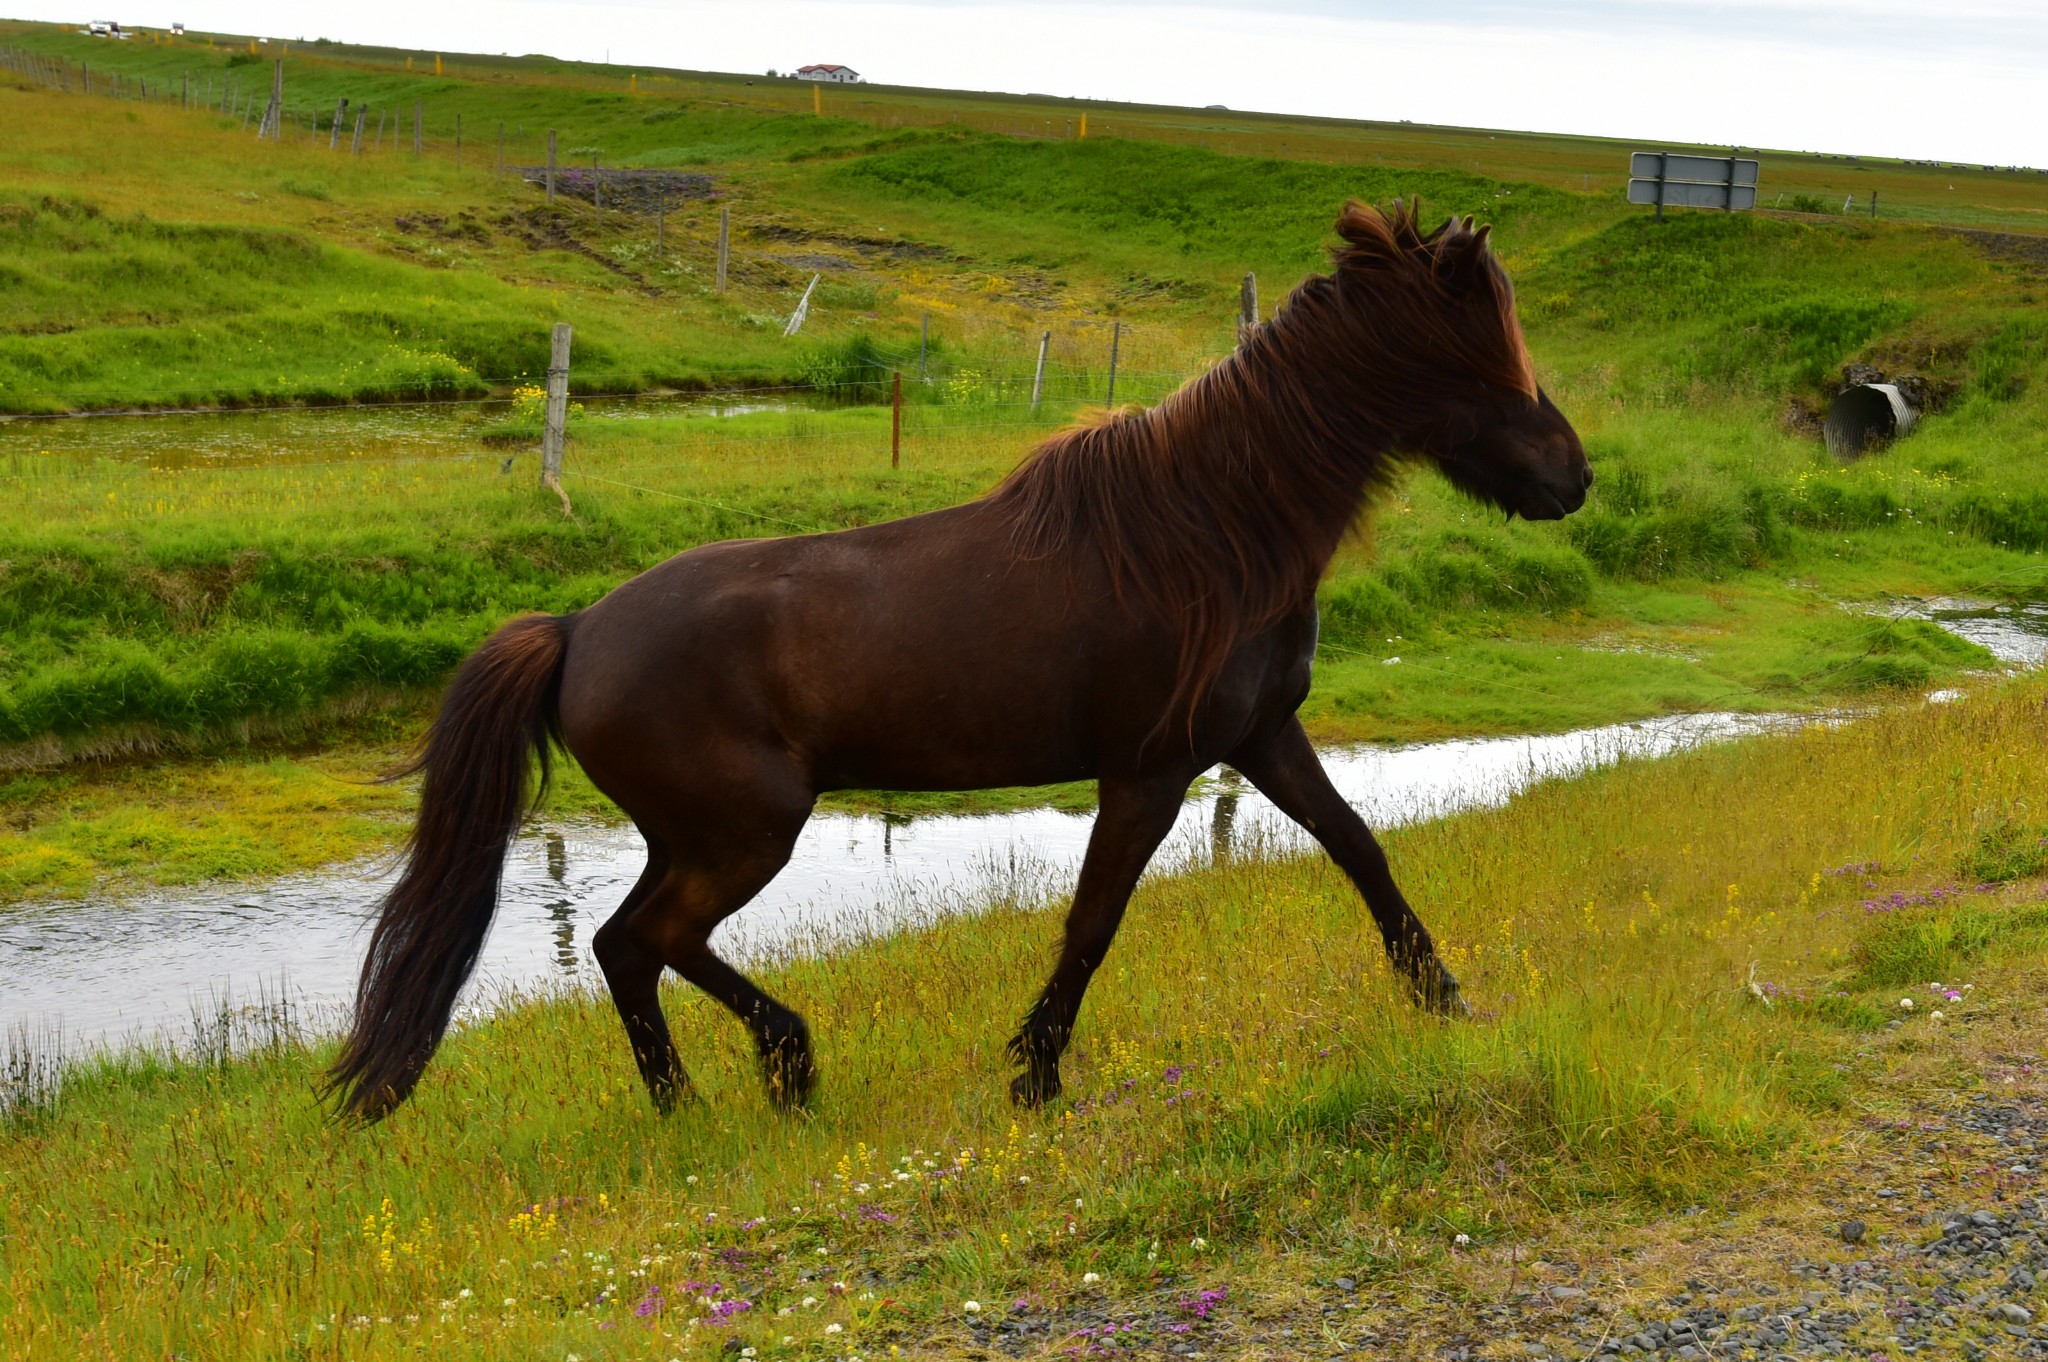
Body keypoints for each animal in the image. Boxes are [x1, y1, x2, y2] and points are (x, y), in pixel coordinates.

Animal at [327, 199, 1589, 1114]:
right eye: (1479, 362)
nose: (1573, 477)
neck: (1210, 535)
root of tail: (579, 631)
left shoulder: (1261, 737)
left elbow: (1358, 850)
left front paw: (1441, 997)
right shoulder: (1149, 772)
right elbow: (1093, 921)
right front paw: (1035, 1072)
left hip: (689, 836)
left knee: (623, 949)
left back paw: (689, 1101)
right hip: (744, 833)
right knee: (650, 941)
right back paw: (784, 1066)